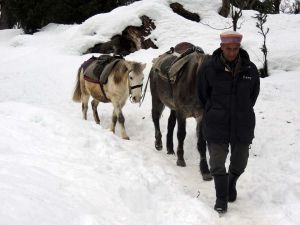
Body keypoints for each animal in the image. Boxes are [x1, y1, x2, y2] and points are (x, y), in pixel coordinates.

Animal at [149, 43, 211, 181]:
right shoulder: (182, 113)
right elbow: (181, 134)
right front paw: (180, 159)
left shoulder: (201, 116)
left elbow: (201, 142)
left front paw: (205, 170)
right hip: (157, 100)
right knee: (155, 118)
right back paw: (158, 143)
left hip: (173, 108)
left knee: (170, 123)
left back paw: (170, 148)